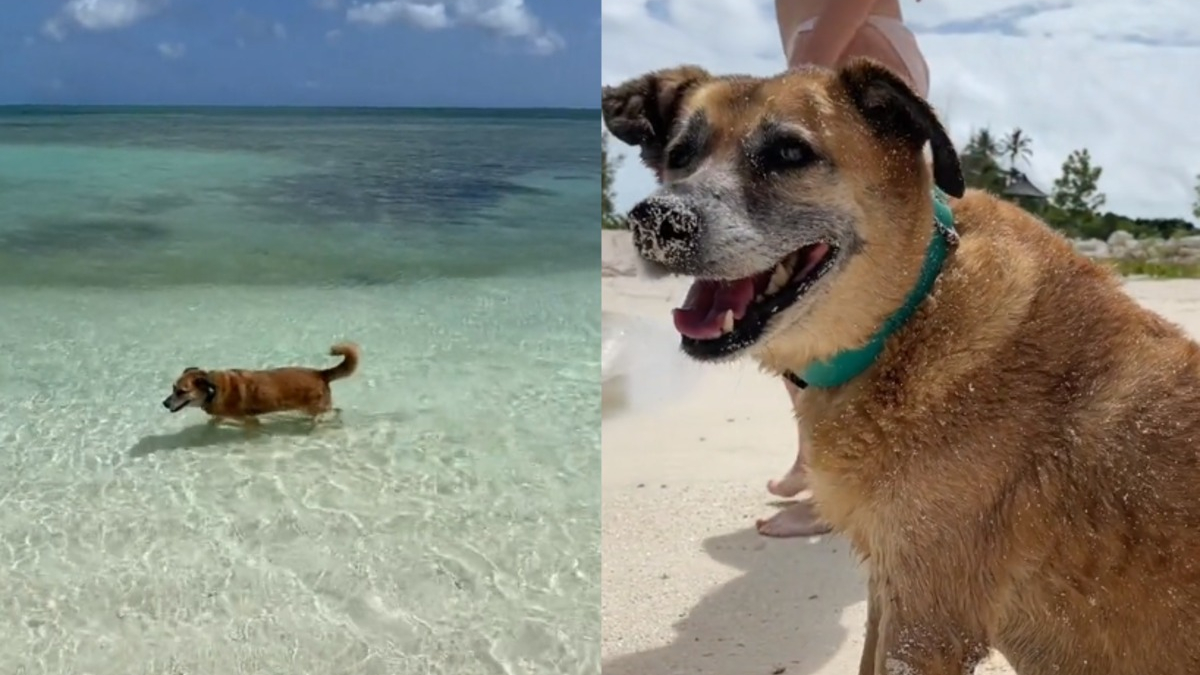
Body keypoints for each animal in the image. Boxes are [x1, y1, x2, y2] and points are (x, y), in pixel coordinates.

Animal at [164, 341, 360, 425]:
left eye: (181, 391)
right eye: (173, 388)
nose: (164, 403)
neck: (213, 390)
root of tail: (320, 373)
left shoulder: (249, 419)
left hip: (315, 407)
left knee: (332, 411)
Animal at [604, 59, 1200, 672]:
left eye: (790, 153)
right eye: (680, 155)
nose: (657, 219)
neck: (910, 313)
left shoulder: (927, 623)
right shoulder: (890, 582)